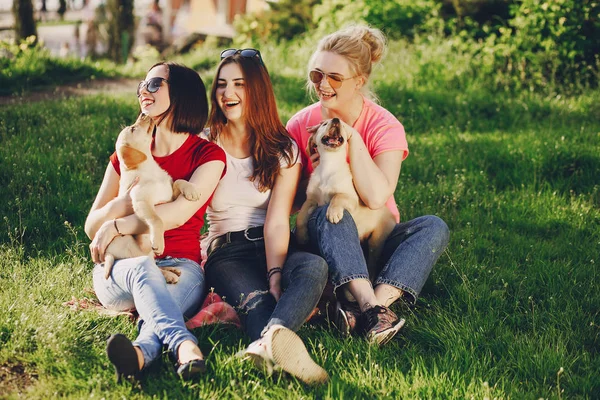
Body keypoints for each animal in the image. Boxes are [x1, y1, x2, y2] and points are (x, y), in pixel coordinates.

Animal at [102, 113, 198, 282]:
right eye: (133, 129)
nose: (143, 113)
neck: (149, 167)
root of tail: (108, 254)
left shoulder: (169, 195)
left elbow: (179, 181)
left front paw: (190, 189)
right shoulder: (141, 201)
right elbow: (156, 219)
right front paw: (159, 241)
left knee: (156, 264)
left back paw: (172, 269)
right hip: (128, 245)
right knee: (151, 265)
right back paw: (169, 275)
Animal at [294, 117, 396, 276]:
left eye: (342, 125)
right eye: (324, 124)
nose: (336, 120)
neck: (329, 165)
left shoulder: (352, 198)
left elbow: (338, 197)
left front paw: (333, 213)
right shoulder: (310, 199)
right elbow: (300, 217)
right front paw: (301, 236)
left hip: (377, 240)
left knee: (373, 260)